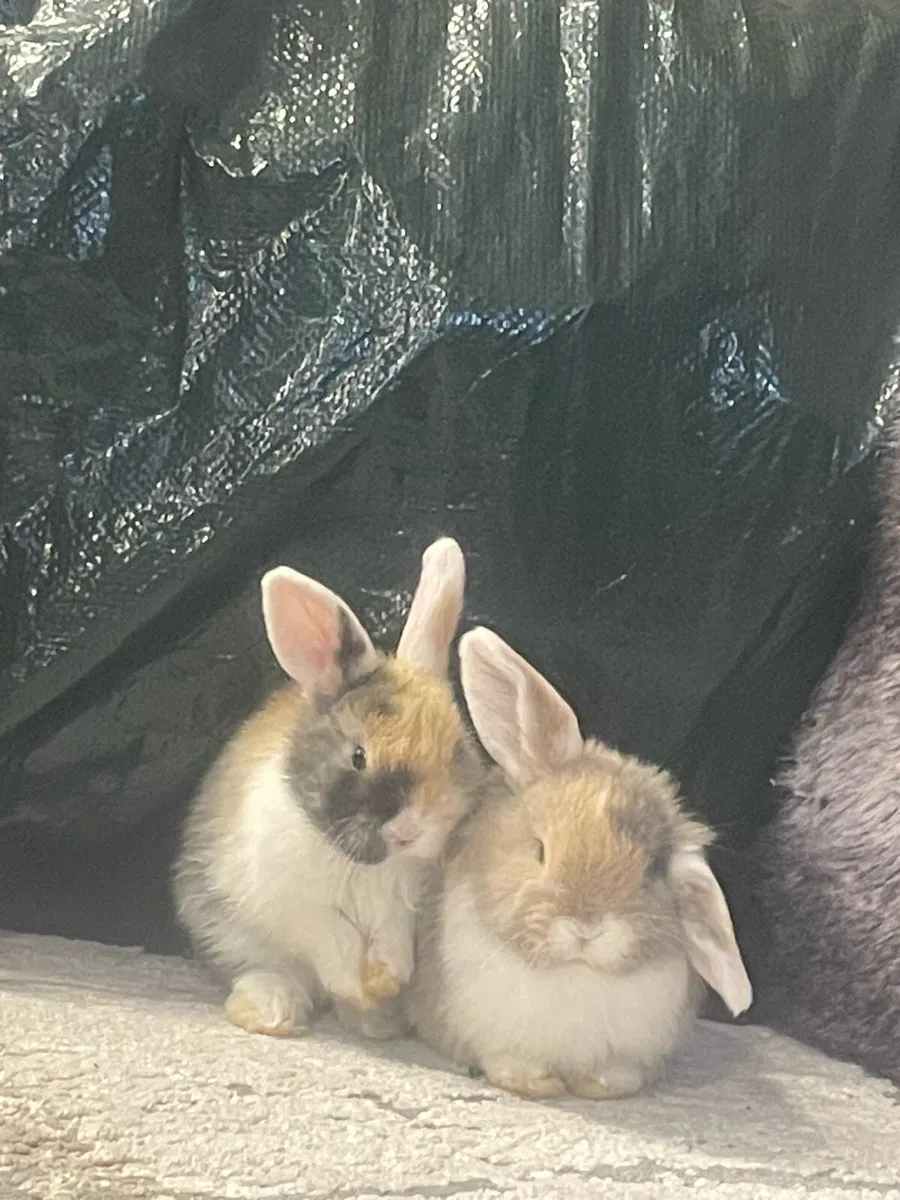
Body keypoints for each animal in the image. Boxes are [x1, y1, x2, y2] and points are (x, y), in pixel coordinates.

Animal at [173, 537, 484, 1042]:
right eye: (358, 756)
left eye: (456, 748)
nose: (411, 829)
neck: (368, 865)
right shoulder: (292, 902)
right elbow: (327, 935)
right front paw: (356, 984)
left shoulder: (406, 907)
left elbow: (392, 935)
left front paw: (385, 980)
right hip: (228, 929)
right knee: (270, 971)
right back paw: (271, 1010)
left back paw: (375, 1021)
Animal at [408, 626, 753, 1100]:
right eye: (539, 850)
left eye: (654, 869)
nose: (587, 927)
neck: (577, 971)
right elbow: (511, 1061)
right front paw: (532, 1084)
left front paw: (602, 1087)